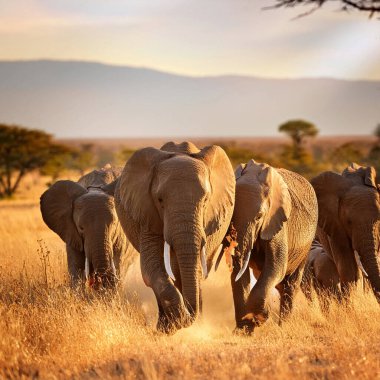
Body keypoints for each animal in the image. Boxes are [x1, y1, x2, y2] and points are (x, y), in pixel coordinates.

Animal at [114, 141, 236, 332]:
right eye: (160, 200)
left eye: (205, 200)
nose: (189, 313)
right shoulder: (147, 214)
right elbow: (152, 268)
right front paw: (171, 326)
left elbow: (195, 268)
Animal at [230, 160, 320, 332]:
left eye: (259, 217)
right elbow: (239, 273)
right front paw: (244, 329)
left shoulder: (277, 221)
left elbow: (276, 267)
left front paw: (259, 317)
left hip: (305, 249)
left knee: (290, 285)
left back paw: (283, 327)